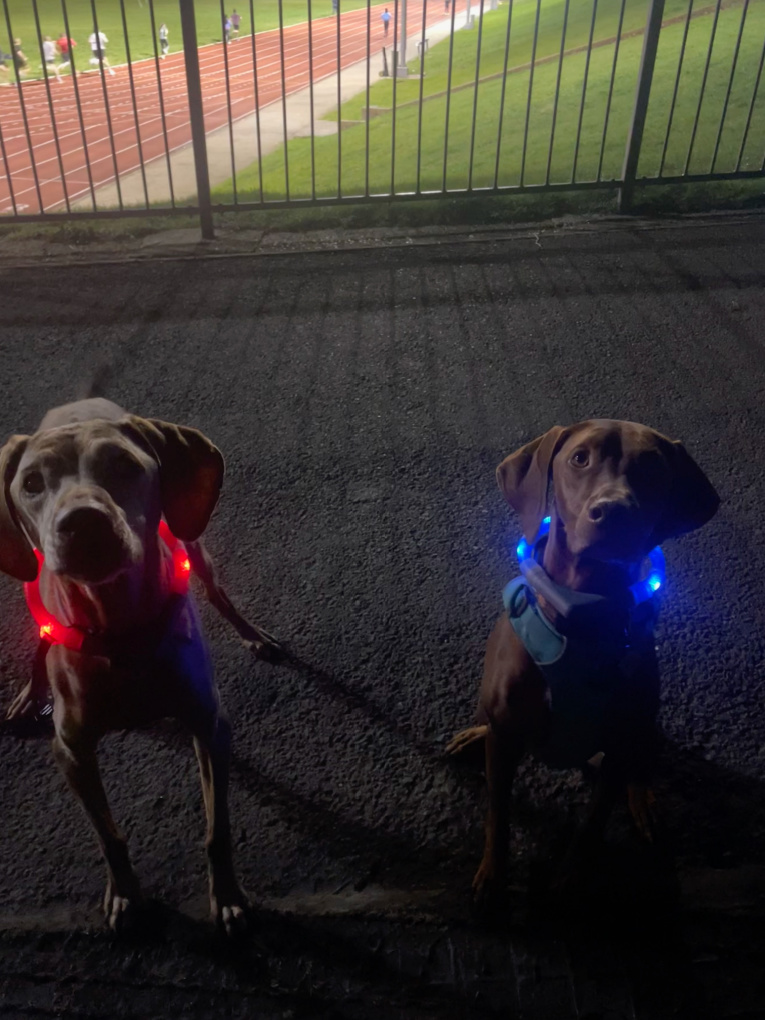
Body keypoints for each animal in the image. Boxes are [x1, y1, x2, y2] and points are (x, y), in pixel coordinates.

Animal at [0, 397, 284, 934]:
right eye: (32, 483)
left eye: (124, 466)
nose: (81, 523)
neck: (119, 630)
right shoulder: (71, 751)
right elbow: (109, 836)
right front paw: (126, 894)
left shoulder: (210, 726)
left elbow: (217, 830)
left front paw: (228, 896)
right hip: (30, 581)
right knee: (40, 636)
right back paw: (31, 690)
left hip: (197, 549)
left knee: (220, 594)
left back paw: (254, 635)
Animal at [448, 420, 719, 911]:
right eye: (580, 458)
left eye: (653, 468)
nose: (614, 513)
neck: (578, 620)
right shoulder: (505, 740)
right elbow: (499, 811)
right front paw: (492, 877)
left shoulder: (620, 743)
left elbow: (593, 823)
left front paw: (571, 879)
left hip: (642, 730)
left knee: (638, 766)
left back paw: (643, 801)